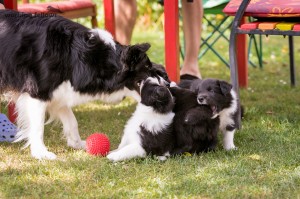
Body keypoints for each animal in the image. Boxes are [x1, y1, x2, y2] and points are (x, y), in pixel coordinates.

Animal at [0, 9, 164, 160]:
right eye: (147, 67)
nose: (165, 81)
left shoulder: (60, 92)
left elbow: (72, 121)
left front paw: (78, 144)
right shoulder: (37, 92)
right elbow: (38, 126)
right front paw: (40, 152)